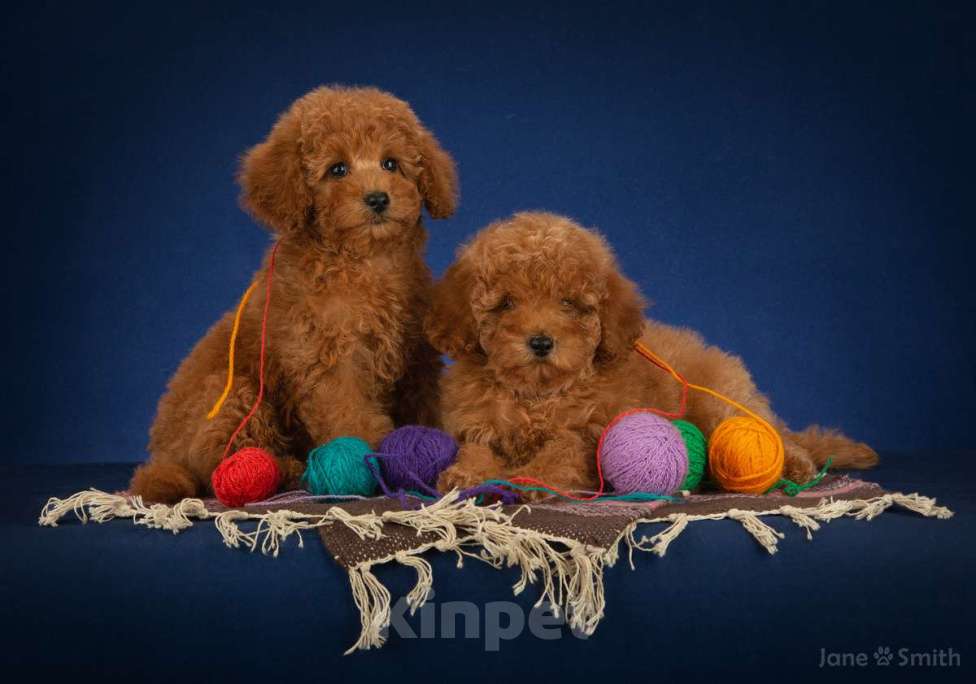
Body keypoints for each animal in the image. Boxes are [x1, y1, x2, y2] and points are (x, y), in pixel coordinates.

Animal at [129, 85, 458, 502]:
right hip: (230, 393)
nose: (378, 198)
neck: (365, 262)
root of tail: (161, 453)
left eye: (391, 164)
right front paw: (368, 464)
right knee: (218, 461)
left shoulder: (415, 358)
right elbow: (350, 413)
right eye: (338, 169)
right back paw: (284, 470)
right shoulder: (331, 359)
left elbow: (426, 405)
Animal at [428, 211, 876, 494]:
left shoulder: (587, 436)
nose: (540, 342)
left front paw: (529, 479)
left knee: (769, 433)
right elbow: (477, 448)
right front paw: (466, 474)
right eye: (506, 304)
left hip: (722, 403)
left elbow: (560, 453)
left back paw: (796, 465)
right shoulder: (478, 425)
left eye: (568, 304)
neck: (538, 396)